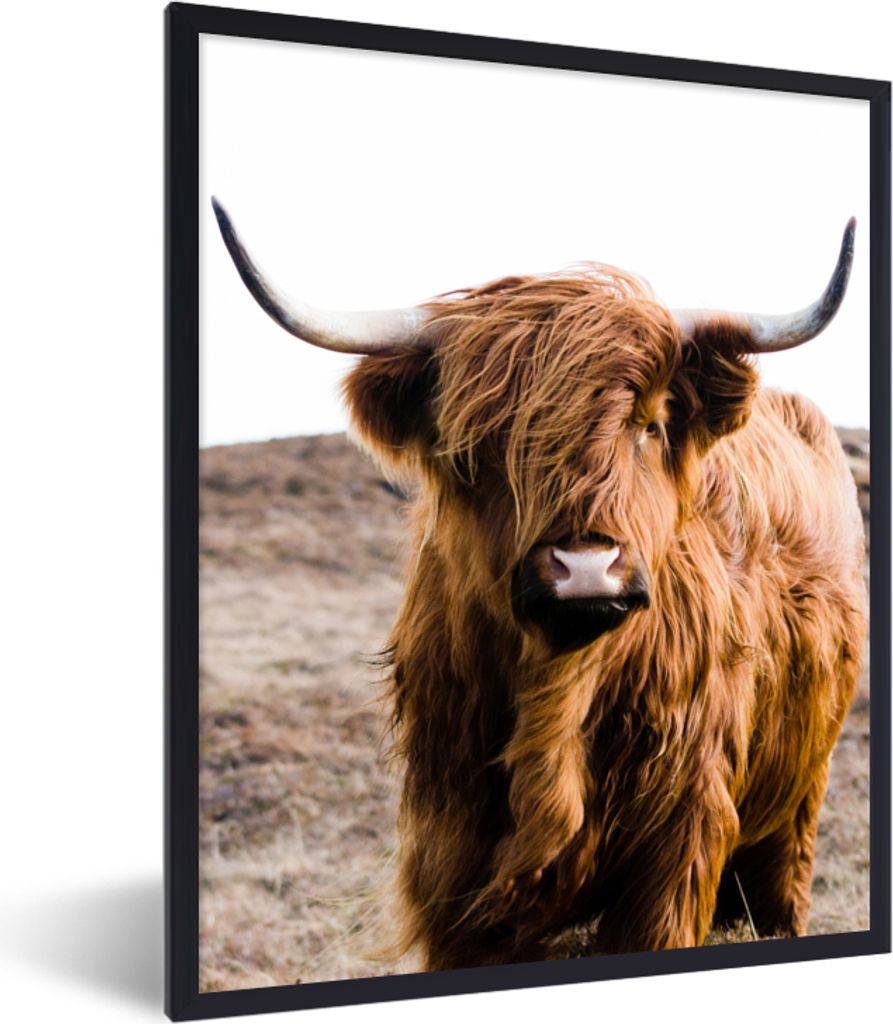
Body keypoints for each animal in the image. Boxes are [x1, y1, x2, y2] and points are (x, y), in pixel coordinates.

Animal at [212, 197, 866, 970]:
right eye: (479, 441)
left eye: (650, 424)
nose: (585, 568)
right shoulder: (453, 852)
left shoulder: (678, 842)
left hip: (798, 802)